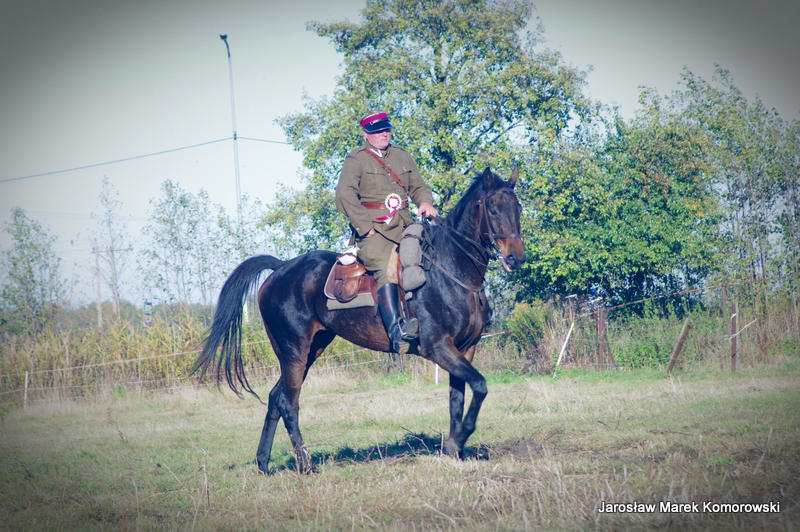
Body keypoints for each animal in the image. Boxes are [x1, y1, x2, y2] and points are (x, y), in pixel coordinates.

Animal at [193, 166, 525, 474]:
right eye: (493, 208)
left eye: (518, 208)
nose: (516, 258)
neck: (451, 270)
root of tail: (281, 268)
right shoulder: (439, 348)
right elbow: (480, 385)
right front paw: (459, 440)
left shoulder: (464, 349)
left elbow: (458, 397)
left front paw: (455, 448)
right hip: (294, 351)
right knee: (288, 401)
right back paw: (306, 464)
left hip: (313, 348)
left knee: (276, 397)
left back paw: (264, 463)